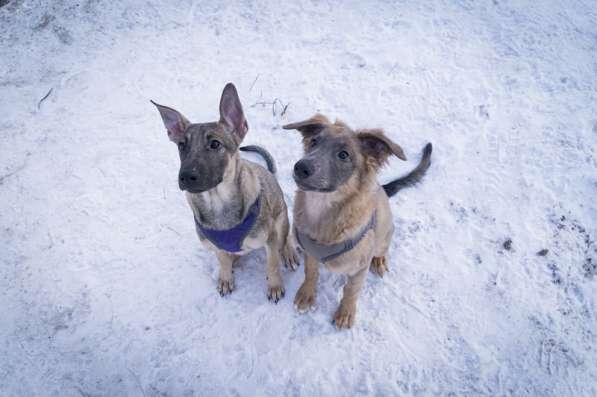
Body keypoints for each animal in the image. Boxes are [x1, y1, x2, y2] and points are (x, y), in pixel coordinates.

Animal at [151, 83, 296, 300]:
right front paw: (226, 278)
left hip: (281, 216)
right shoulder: (215, 245)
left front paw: (275, 286)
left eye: (215, 144)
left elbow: (272, 264)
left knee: (285, 237)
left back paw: (288, 252)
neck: (217, 201)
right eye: (181, 145)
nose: (185, 176)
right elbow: (222, 260)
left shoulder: (270, 238)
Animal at [282, 115, 430, 328]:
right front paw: (307, 294)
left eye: (344, 155)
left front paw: (345, 313)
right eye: (313, 142)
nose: (300, 167)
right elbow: (311, 273)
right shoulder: (311, 254)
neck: (323, 210)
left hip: (384, 235)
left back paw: (380, 260)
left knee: (382, 249)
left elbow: (351, 291)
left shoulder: (360, 268)